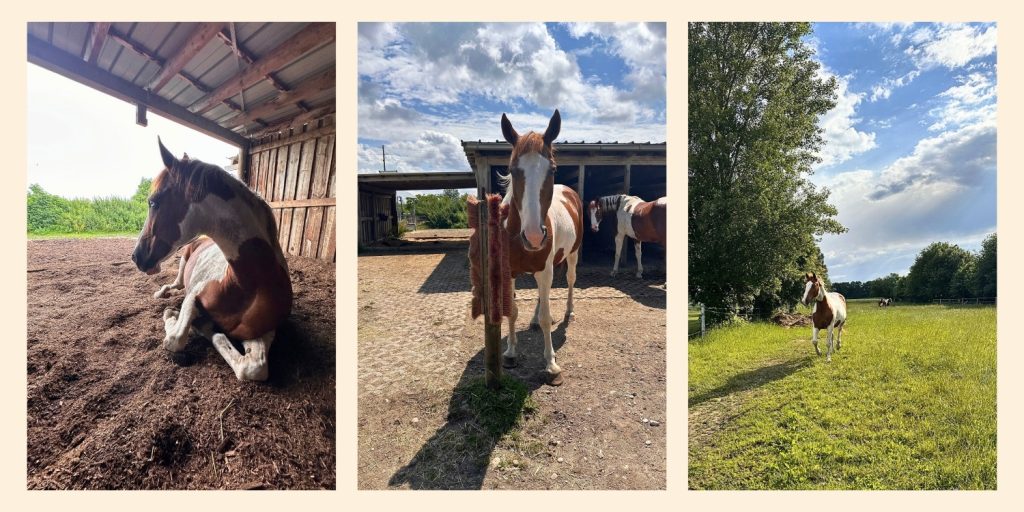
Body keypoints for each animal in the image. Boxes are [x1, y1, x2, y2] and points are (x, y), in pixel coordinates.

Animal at [132, 139, 292, 381]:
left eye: (153, 202)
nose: (136, 256)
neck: (247, 284)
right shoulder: (193, 295)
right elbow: (175, 338)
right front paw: (174, 315)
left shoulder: (262, 331)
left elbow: (254, 367)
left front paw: (211, 331)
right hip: (182, 266)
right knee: (175, 285)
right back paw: (161, 293)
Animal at [498, 110, 583, 386]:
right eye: (512, 170)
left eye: (552, 169)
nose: (534, 236)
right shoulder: (509, 272)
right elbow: (512, 312)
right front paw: (511, 353)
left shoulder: (545, 270)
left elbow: (547, 318)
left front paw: (551, 365)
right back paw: (533, 320)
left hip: (572, 255)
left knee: (570, 280)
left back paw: (569, 312)